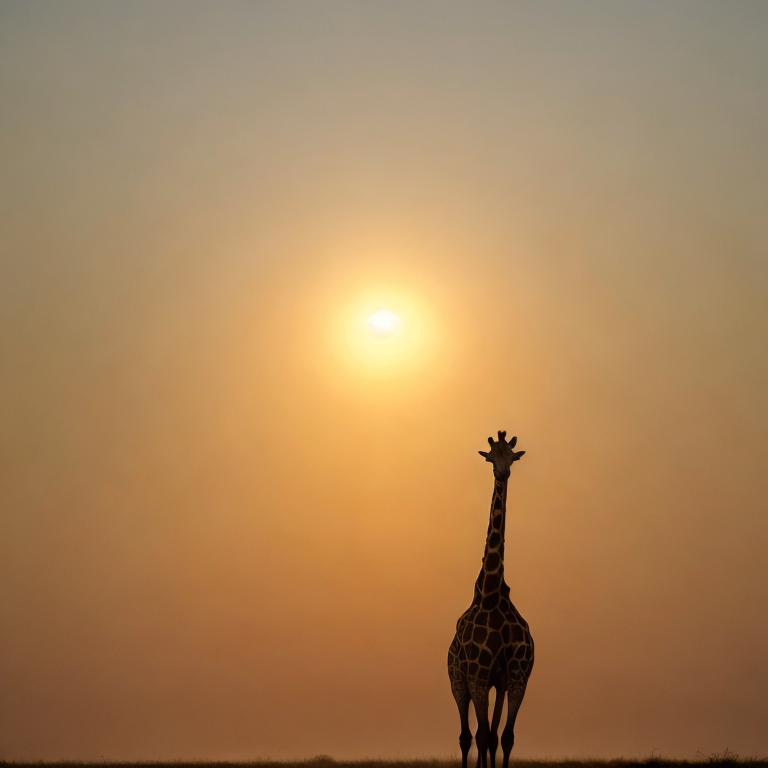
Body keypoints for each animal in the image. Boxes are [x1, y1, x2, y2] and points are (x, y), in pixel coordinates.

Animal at [448, 431, 534, 768]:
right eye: (491, 456)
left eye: (511, 457)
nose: (502, 473)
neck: (491, 595)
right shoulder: (478, 673)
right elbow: (480, 735)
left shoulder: (517, 675)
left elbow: (505, 736)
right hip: (458, 679)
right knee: (467, 735)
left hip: (497, 681)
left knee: (491, 734)